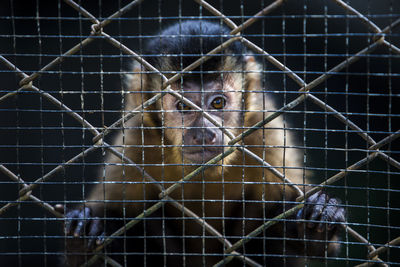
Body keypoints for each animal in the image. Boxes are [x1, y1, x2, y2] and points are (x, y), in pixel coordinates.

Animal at [61, 21, 344, 267]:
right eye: (183, 107)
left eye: (217, 103)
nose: (204, 134)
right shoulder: (136, 140)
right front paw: (87, 232)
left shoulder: (267, 132)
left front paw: (315, 223)